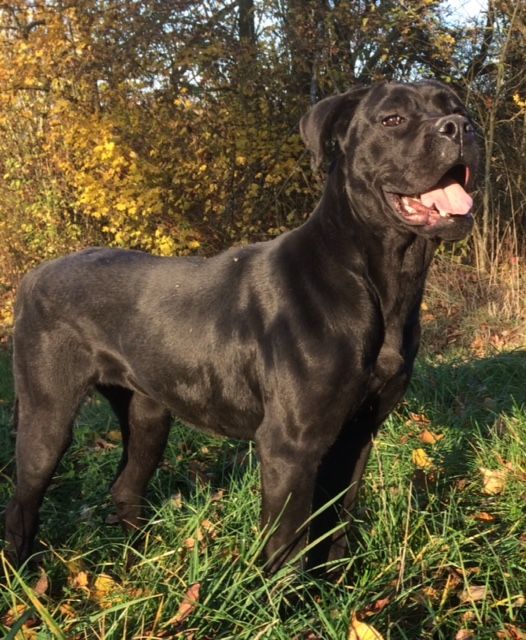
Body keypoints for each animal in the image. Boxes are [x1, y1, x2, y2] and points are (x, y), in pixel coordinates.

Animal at [4, 77, 480, 572]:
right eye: (392, 119)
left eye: (459, 107)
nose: (459, 127)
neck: (381, 276)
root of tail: (33, 276)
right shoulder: (289, 444)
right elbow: (288, 541)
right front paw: (285, 593)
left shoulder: (356, 433)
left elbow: (337, 520)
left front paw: (336, 583)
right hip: (48, 416)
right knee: (21, 504)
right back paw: (25, 578)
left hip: (148, 415)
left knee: (125, 486)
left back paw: (141, 561)